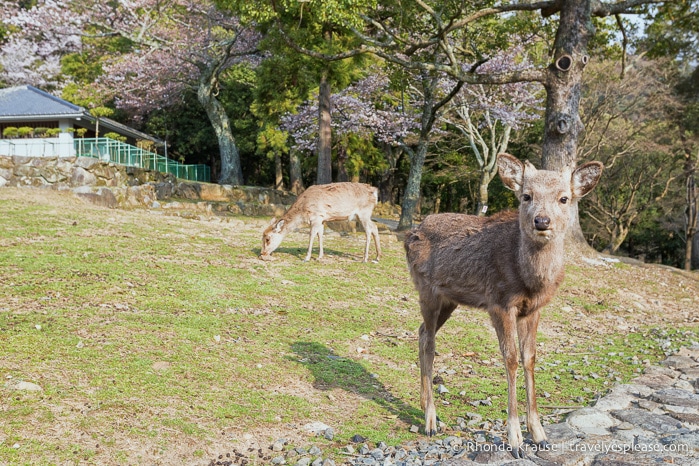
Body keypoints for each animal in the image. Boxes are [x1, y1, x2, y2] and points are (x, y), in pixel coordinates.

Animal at [404, 154, 600, 458]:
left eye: (564, 198)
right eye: (526, 196)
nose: (541, 221)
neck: (529, 281)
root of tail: (411, 232)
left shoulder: (534, 310)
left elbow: (530, 358)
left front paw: (540, 435)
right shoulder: (499, 302)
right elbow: (510, 358)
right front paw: (515, 440)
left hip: (450, 299)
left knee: (423, 331)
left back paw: (425, 406)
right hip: (427, 290)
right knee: (429, 341)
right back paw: (430, 421)